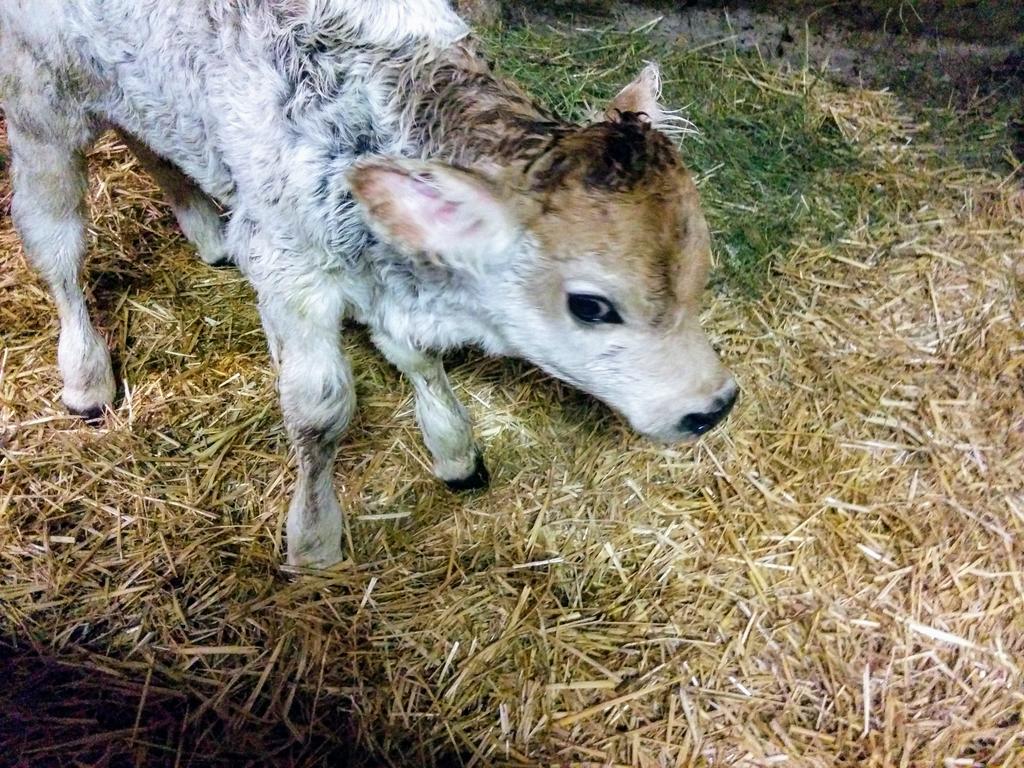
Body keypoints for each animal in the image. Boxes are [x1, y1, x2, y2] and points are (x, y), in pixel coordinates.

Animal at [0, 1, 737, 573]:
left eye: (700, 270)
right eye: (590, 305)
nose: (713, 405)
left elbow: (418, 358)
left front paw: (453, 448)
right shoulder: (290, 269)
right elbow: (320, 409)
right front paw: (313, 541)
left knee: (148, 138)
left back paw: (208, 228)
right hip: (40, 104)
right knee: (57, 244)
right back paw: (86, 375)